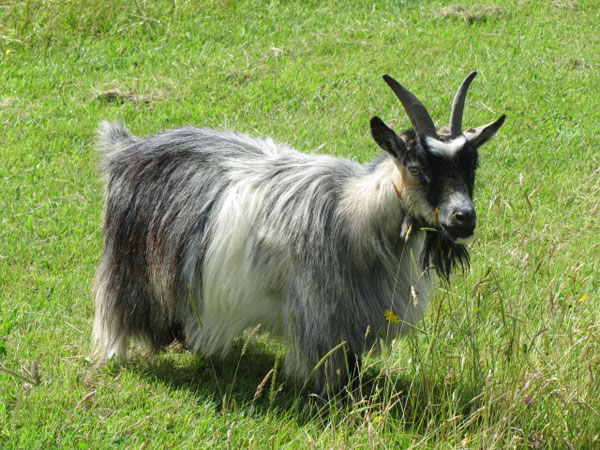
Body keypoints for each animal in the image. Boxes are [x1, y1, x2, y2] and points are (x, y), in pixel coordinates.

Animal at [95, 72, 506, 392]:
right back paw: (119, 353)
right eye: (416, 167)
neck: (355, 215)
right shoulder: (321, 315)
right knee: (117, 307)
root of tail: (125, 150)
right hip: (130, 265)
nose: (463, 219)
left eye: (472, 165)